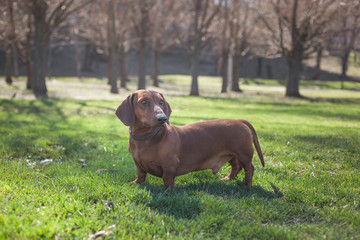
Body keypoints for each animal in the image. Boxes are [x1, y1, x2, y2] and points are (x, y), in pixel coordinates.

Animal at [116, 89, 264, 188]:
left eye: (161, 102)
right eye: (143, 101)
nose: (162, 118)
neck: (146, 139)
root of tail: (239, 121)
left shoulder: (170, 164)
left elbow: (167, 178)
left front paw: (168, 191)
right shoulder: (137, 163)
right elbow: (141, 174)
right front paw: (135, 183)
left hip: (244, 154)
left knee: (249, 168)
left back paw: (247, 186)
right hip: (232, 155)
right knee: (236, 167)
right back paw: (228, 179)